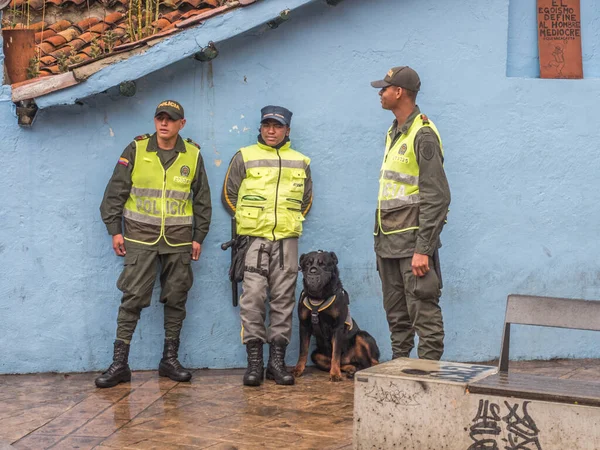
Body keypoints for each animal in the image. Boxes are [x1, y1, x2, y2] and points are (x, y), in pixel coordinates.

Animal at [290, 251, 380, 382]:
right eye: (307, 264)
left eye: (323, 264)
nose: (313, 271)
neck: (318, 298)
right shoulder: (304, 325)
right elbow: (303, 350)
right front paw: (298, 369)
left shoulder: (337, 327)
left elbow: (336, 353)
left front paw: (335, 374)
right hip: (316, 355)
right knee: (350, 364)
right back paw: (352, 370)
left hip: (362, 336)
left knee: (373, 363)